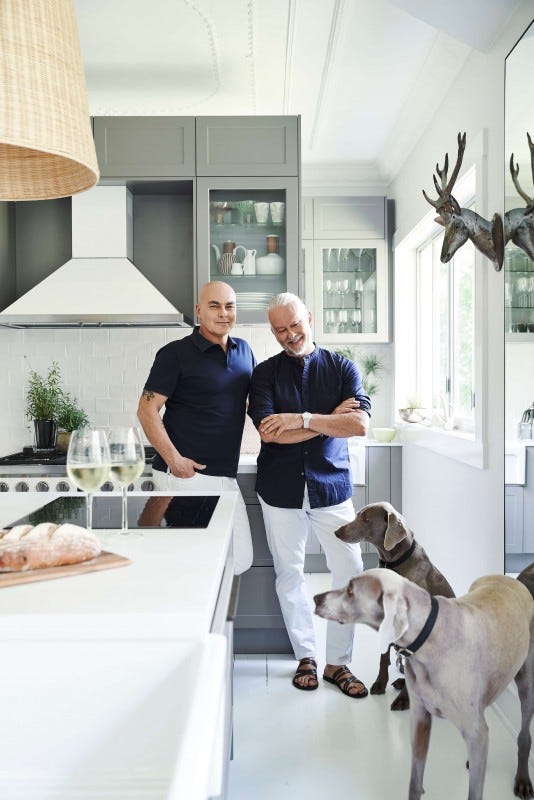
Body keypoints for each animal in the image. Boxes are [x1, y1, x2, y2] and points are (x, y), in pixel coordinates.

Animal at [316, 568, 532, 800]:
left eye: (350, 590)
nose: (315, 598)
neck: (429, 638)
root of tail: (511, 579)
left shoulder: (474, 732)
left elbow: (474, 790)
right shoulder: (420, 719)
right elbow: (415, 782)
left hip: (526, 683)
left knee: (524, 734)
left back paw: (522, 779)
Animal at [338, 504, 454, 708]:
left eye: (366, 519)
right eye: (357, 515)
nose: (337, 531)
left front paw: (404, 700)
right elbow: (383, 658)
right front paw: (380, 683)